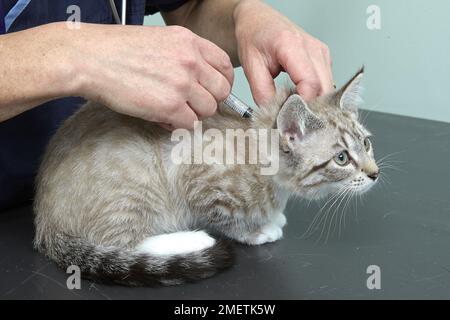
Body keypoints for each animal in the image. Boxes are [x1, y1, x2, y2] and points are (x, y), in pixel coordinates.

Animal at [33, 68, 376, 288]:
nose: (374, 174)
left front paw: (271, 217)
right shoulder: (199, 181)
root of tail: (46, 222)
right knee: (123, 242)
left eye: (366, 143)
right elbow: (227, 218)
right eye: (342, 158)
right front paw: (257, 230)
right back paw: (193, 240)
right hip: (135, 176)